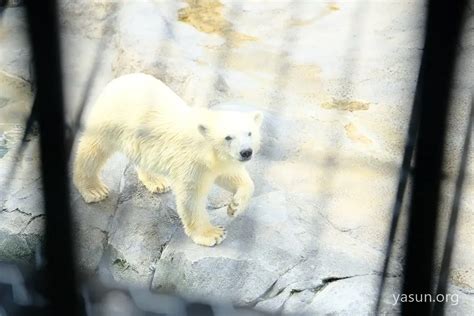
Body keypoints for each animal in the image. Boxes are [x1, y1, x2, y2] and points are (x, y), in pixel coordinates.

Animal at [73, 73, 262, 247]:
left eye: (249, 133)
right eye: (228, 137)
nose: (246, 152)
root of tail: (122, 78)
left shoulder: (216, 162)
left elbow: (232, 176)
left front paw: (235, 206)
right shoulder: (191, 162)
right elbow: (191, 198)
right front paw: (213, 234)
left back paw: (157, 182)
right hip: (112, 118)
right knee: (93, 149)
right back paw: (94, 189)